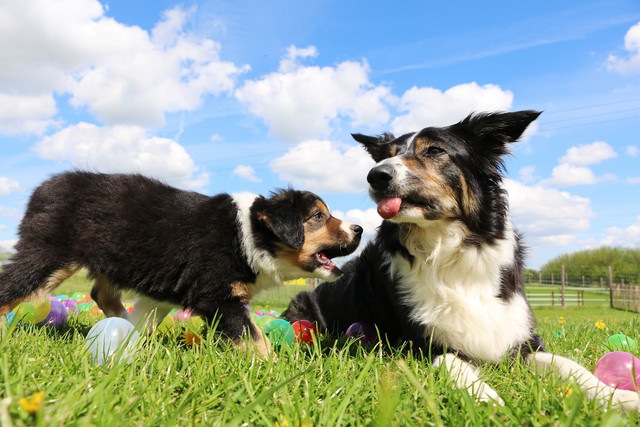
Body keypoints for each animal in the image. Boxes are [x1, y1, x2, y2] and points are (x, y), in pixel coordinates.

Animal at [0, 171, 362, 358]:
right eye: (318, 217)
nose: (359, 228)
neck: (249, 234)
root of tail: (44, 187)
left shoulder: (167, 291)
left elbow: (147, 315)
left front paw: (137, 339)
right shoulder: (217, 295)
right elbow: (253, 333)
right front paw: (275, 369)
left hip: (111, 256)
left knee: (101, 293)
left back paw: (122, 322)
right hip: (48, 254)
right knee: (12, 286)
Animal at [284, 111, 640, 412]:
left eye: (435, 151)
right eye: (388, 155)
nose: (375, 175)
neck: (448, 249)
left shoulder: (522, 339)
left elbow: (567, 365)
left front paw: (618, 398)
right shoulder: (416, 343)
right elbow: (453, 362)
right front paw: (486, 399)